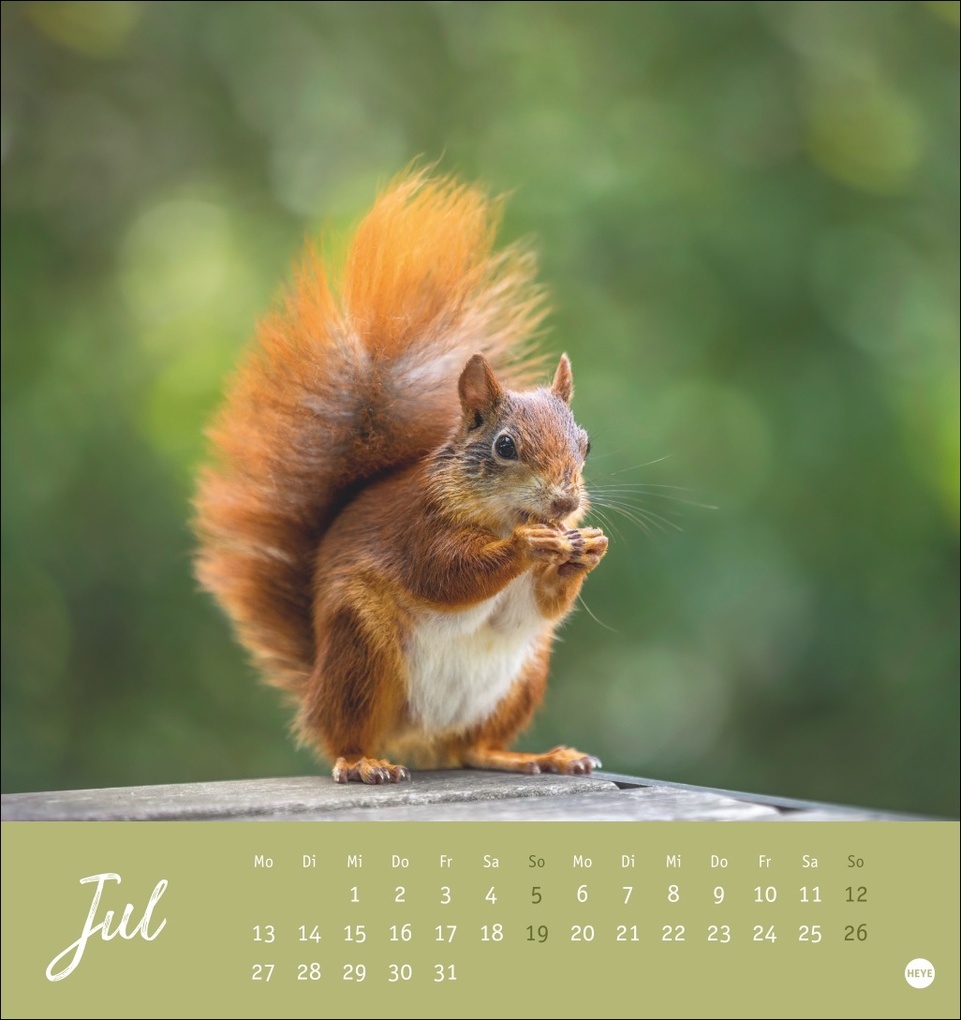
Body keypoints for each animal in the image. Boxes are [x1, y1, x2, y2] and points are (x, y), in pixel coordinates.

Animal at [194, 169, 608, 784]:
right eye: (505, 446)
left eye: (585, 444)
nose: (563, 505)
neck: (498, 515)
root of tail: (418, 741)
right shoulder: (418, 528)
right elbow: (448, 574)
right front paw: (528, 544)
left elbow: (547, 604)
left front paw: (588, 547)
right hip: (361, 652)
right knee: (345, 735)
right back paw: (362, 762)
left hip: (523, 674)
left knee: (474, 748)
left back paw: (532, 756)